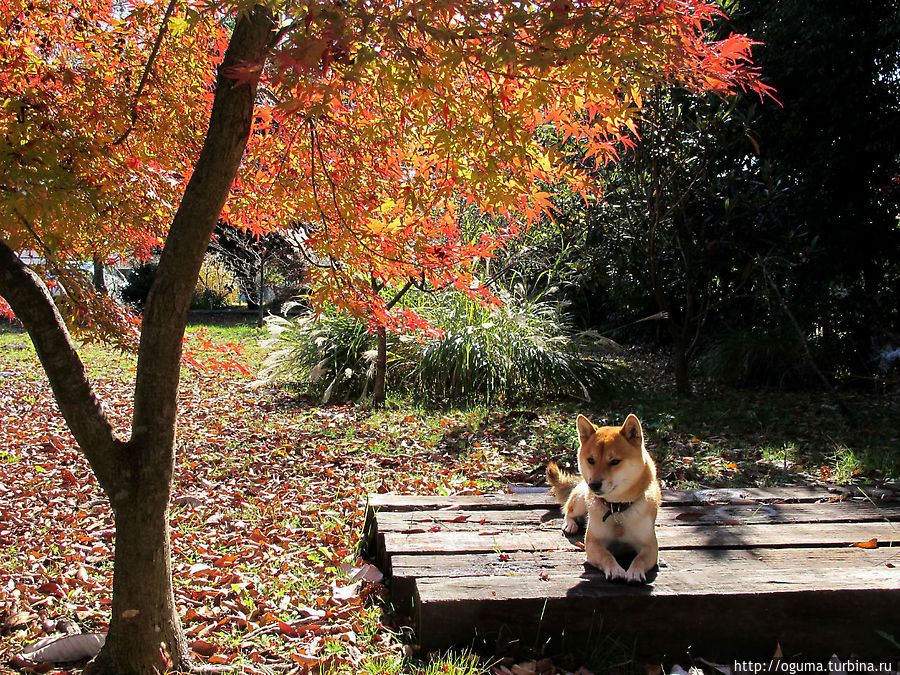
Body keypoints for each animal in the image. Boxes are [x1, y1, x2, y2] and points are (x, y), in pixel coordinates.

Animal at [540, 414, 660, 584]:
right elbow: (606, 556)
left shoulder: (649, 546)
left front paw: (635, 572)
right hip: (581, 500)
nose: (594, 485)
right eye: (591, 460)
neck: (617, 508)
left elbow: (640, 559)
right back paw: (570, 524)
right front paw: (616, 569)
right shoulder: (593, 543)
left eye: (615, 461)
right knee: (568, 510)